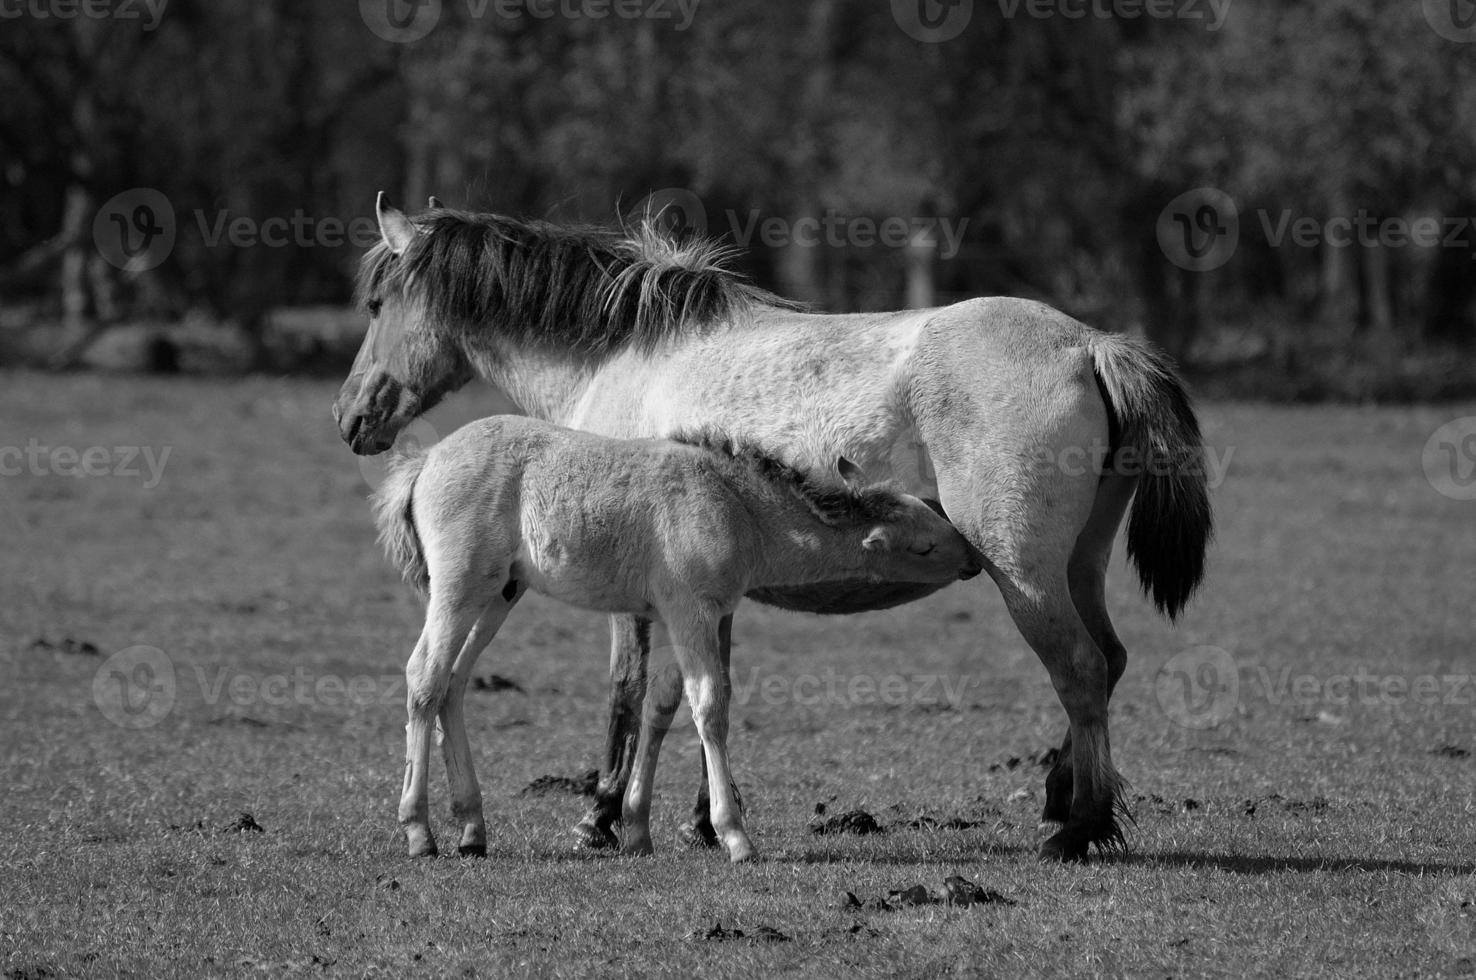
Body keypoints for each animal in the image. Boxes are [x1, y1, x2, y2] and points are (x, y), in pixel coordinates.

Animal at [374, 416, 985, 861]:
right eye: (925, 547)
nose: (975, 559)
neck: (739, 508)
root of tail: (426, 461)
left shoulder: (678, 615)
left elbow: (662, 705)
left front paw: (639, 829)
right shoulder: (692, 611)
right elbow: (710, 706)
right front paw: (733, 835)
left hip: (500, 593)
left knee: (453, 683)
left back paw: (472, 829)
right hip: (459, 588)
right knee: (424, 677)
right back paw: (419, 832)